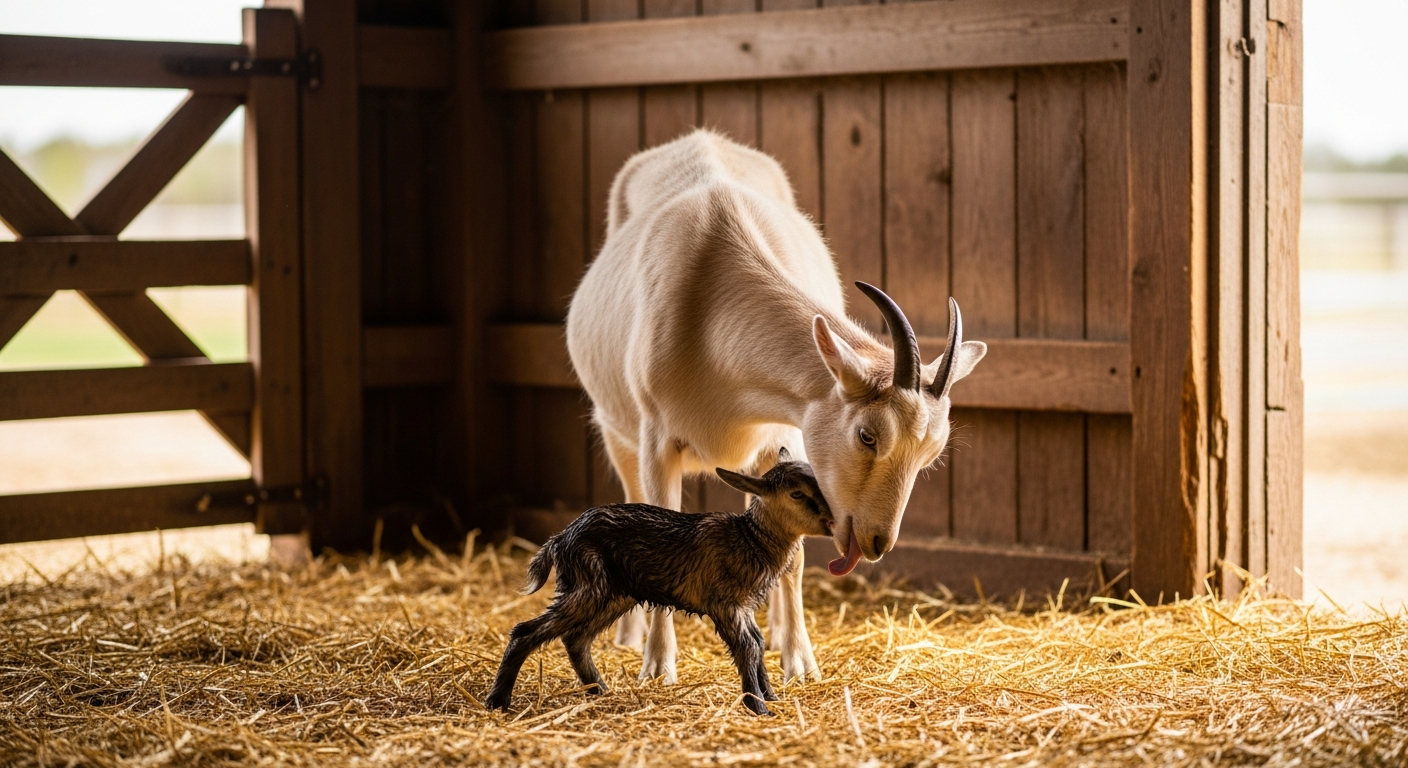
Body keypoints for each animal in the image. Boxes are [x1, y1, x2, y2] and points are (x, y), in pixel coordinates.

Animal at [484, 449, 831, 716]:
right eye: (797, 494)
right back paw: (498, 700)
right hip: (587, 585)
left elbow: (758, 644)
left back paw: (601, 690)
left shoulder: (743, 607)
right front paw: (759, 706)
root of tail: (559, 539)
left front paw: (770, 695)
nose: (832, 521)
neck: (750, 539)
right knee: (526, 631)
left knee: (575, 639)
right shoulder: (725, 603)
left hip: (614, 593)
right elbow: (748, 647)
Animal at [566, 129, 987, 683]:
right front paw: (658, 666)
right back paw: (630, 637)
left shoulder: (783, 436)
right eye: (867, 435)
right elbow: (658, 523)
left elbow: (795, 555)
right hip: (615, 430)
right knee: (630, 497)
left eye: (930, 455)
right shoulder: (657, 440)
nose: (877, 542)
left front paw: (799, 662)